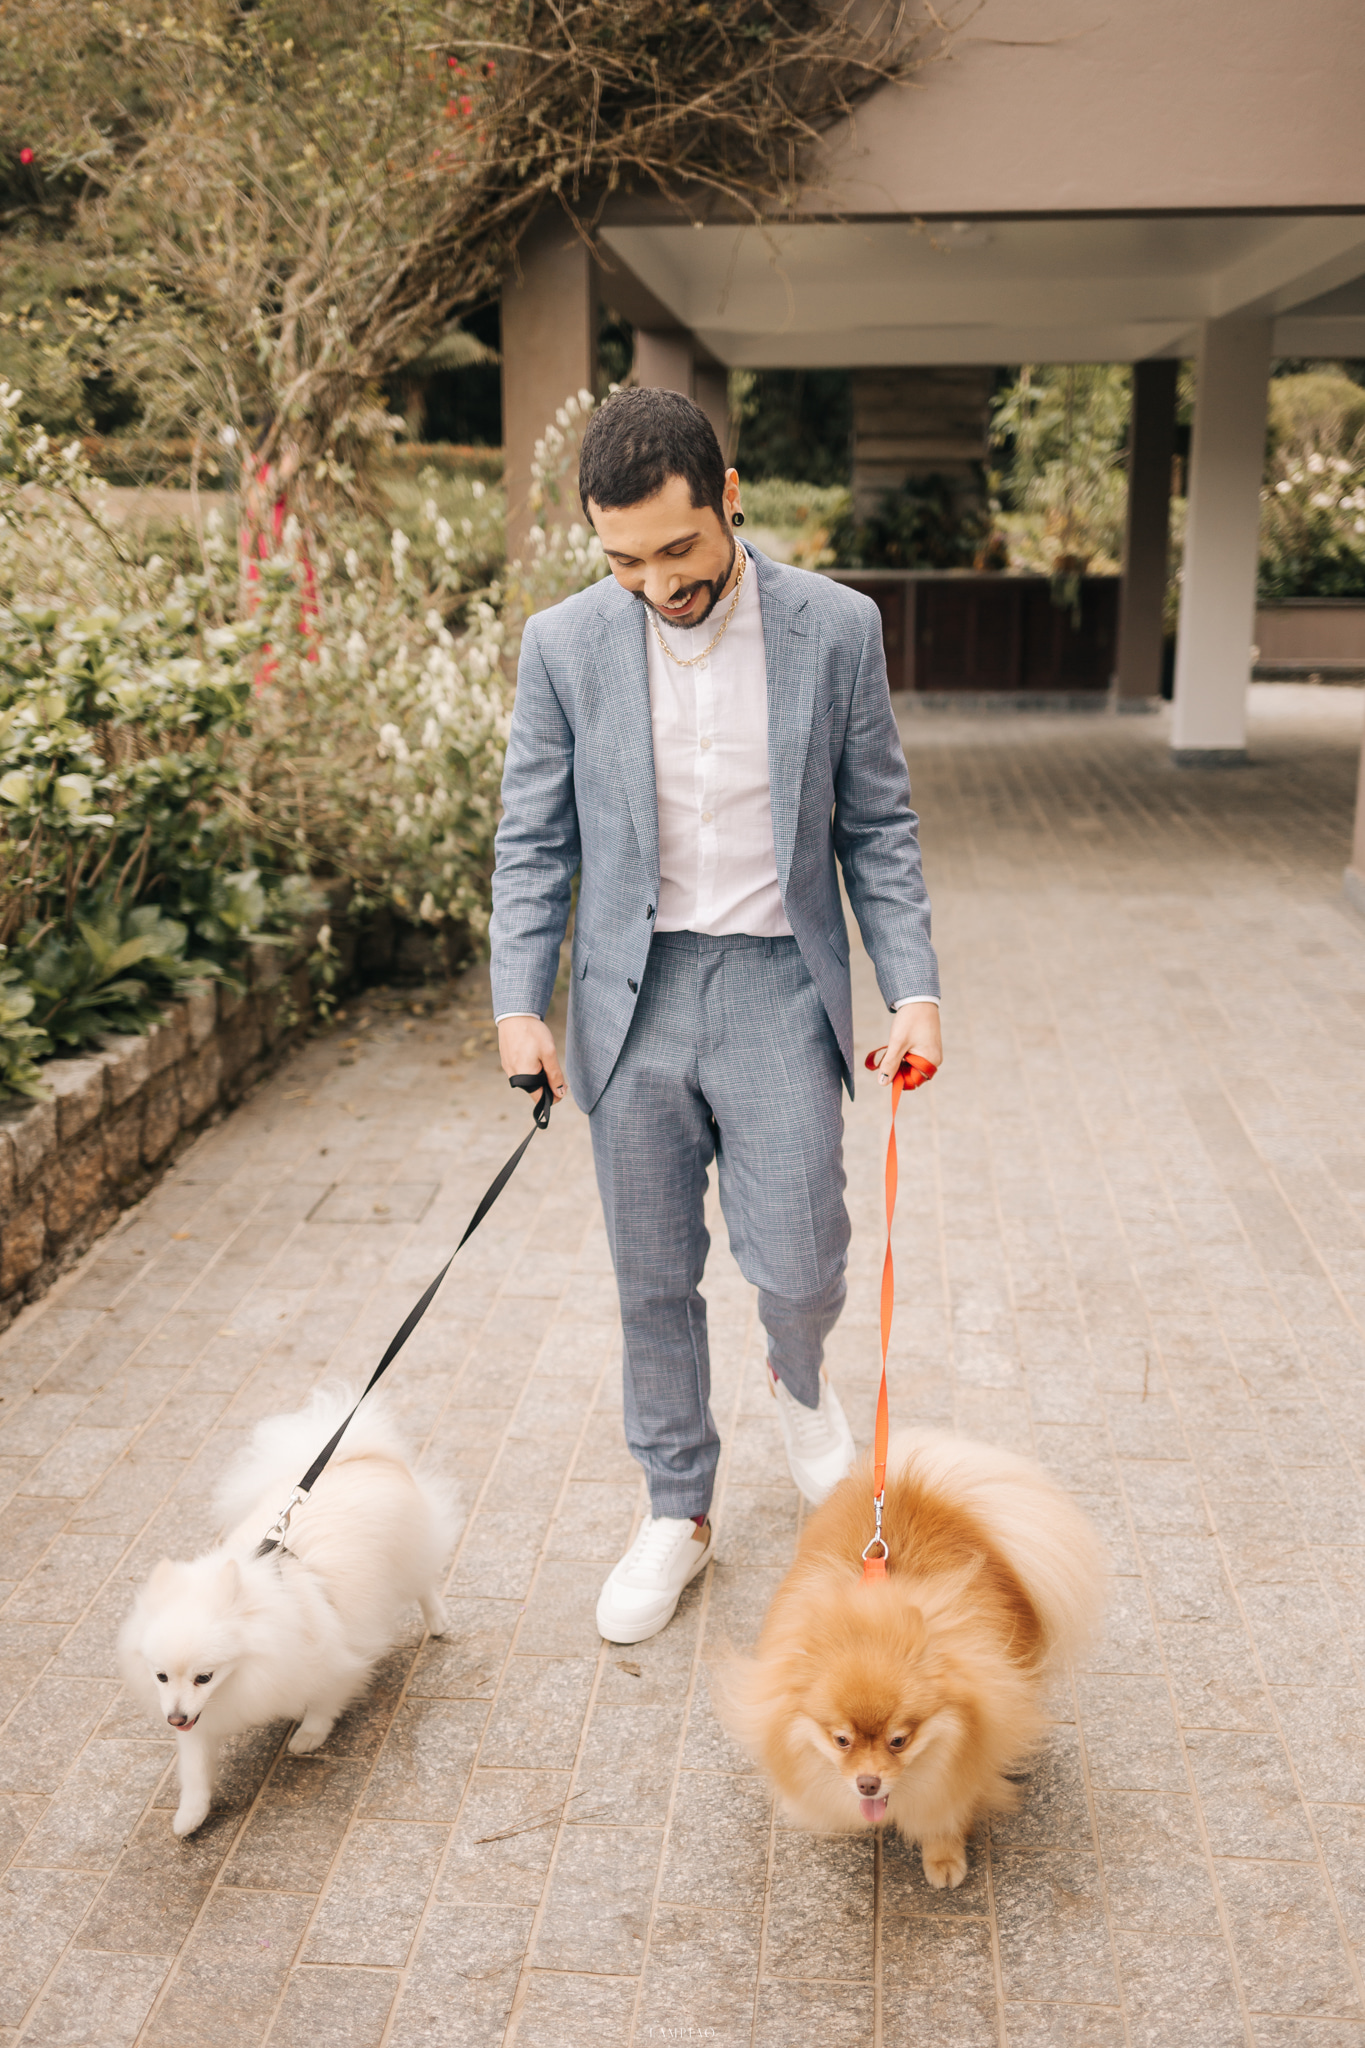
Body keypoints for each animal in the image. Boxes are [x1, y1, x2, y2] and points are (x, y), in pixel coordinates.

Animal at [116, 1392, 454, 1843]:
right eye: (161, 1677)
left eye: (204, 1676)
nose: (175, 1718)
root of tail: (355, 1455)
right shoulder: (202, 1717)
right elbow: (195, 1768)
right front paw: (191, 1815)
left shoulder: (332, 1656)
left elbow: (326, 1699)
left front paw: (309, 1734)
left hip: (407, 1557)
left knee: (424, 1583)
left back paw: (437, 1621)